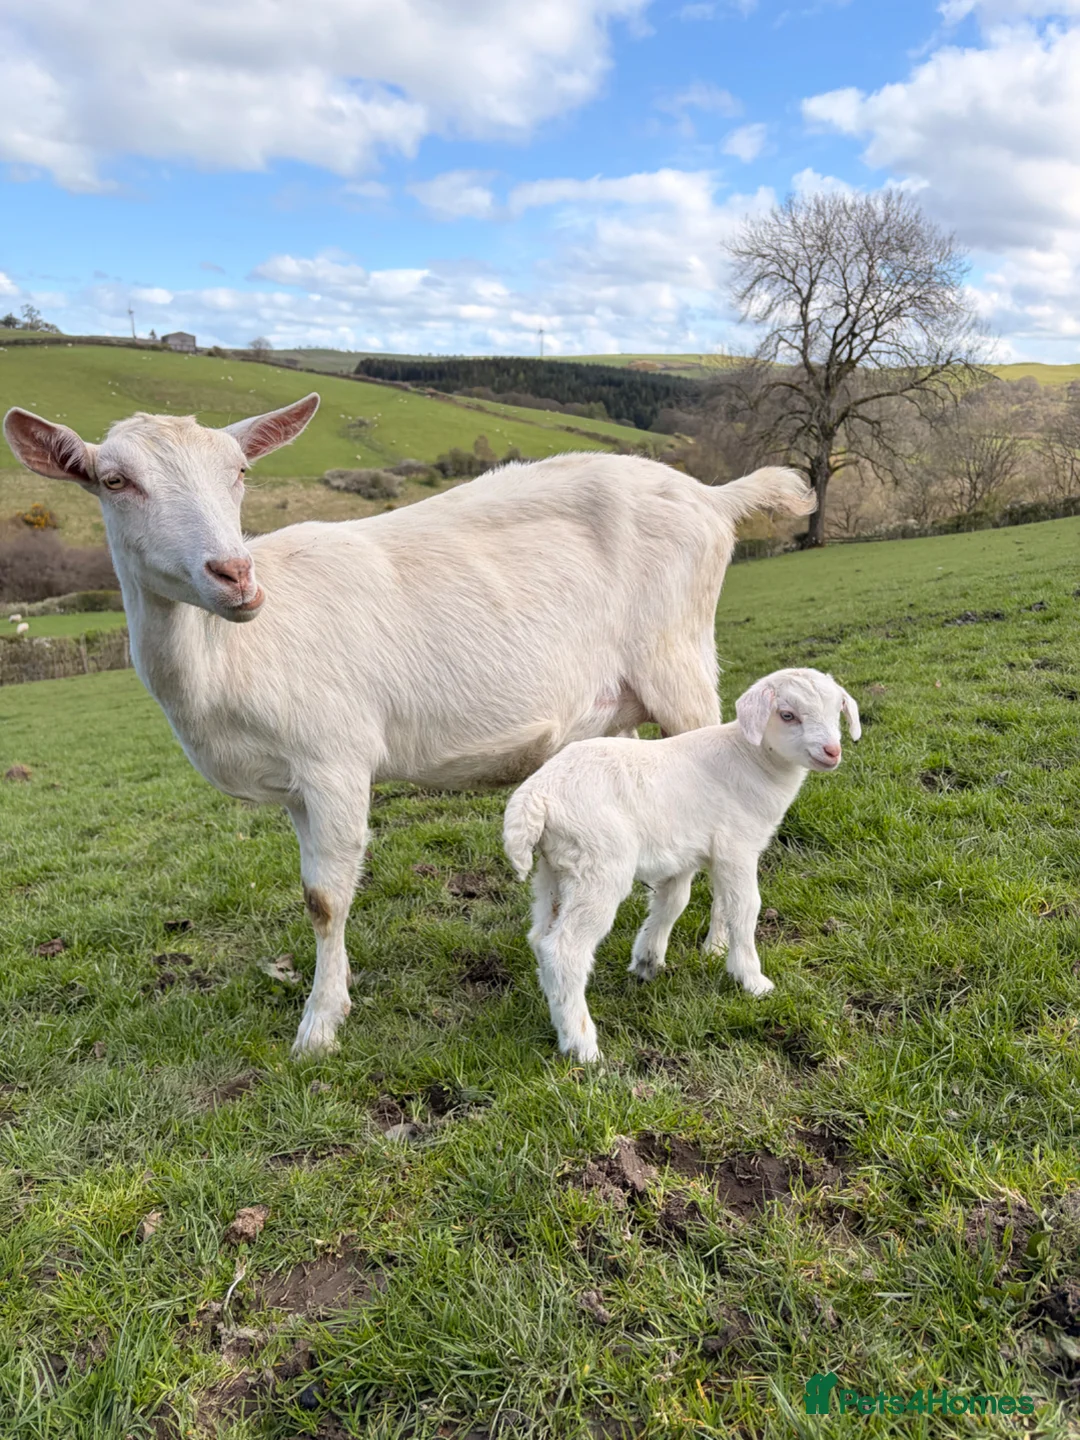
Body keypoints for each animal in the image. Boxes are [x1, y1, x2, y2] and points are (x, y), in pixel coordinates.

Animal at [3, 396, 814, 1056]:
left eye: (239, 471)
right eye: (114, 481)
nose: (234, 574)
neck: (227, 657)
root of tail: (710, 495)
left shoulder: (333, 758)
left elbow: (326, 898)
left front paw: (319, 1026)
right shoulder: (296, 785)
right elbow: (317, 894)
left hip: (679, 663)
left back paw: (714, 941)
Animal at [503, 668, 860, 1061]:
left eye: (837, 709)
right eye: (787, 715)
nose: (832, 751)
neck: (753, 761)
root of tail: (536, 797)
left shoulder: (688, 851)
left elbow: (678, 902)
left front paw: (651, 960)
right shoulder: (737, 845)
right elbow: (745, 908)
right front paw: (752, 980)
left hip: (554, 869)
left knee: (540, 938)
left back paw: (557, 1012)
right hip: (598, 864)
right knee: (564, 950)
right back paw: (581, 1046)